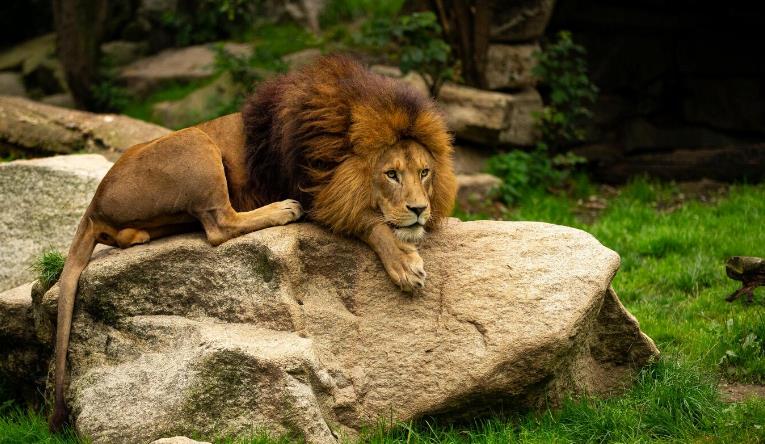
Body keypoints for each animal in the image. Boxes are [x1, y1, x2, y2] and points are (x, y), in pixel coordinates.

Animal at [49, 54, 454, 430]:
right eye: (391, 174)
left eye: (424, 172)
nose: (419, 209)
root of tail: (94, 202)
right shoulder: (319, 192)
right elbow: (372, 222)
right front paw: (404, 262)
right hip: (197, 141)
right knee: (218, 225)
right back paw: (283, 210)